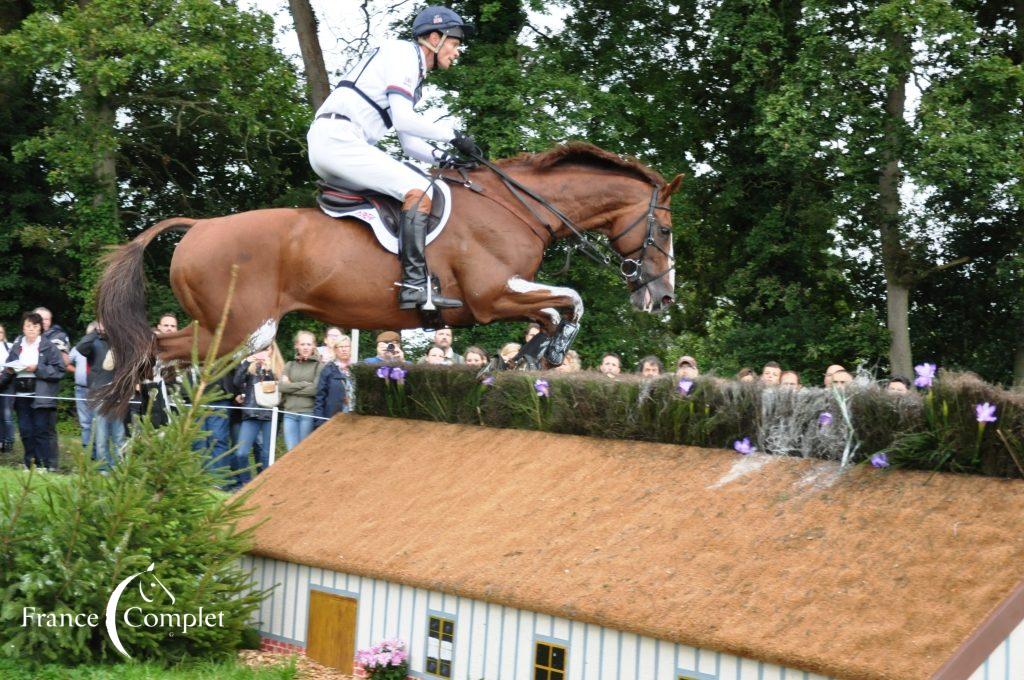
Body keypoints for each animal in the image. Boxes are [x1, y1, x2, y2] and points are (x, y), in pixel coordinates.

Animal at [96, 140, 684, 411]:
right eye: (665, 228)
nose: (662, 299)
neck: (517, 207)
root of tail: (199, 227)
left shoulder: (503, 297)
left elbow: (551, 312)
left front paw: (527, 356)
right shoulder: (491, 296)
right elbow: (572, 299)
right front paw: (551, 352)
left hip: (229, 330)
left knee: (157, 352)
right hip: (243, 330)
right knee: (154, 350)